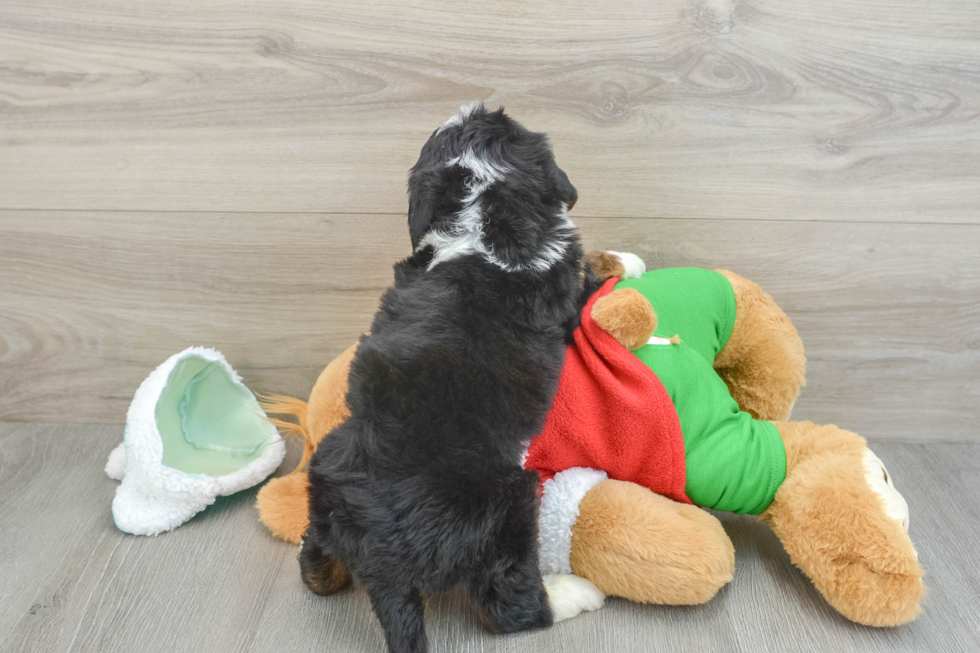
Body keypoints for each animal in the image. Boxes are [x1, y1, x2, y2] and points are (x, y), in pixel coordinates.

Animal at [298, 104, 604, 652]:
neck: (479, 213)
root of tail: (384, 561)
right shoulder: (565, 285)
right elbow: (589, 278)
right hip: (509, 503)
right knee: (510, 606)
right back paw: (572, 593)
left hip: (328, 473)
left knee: (317, 566)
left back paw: (316, 564)